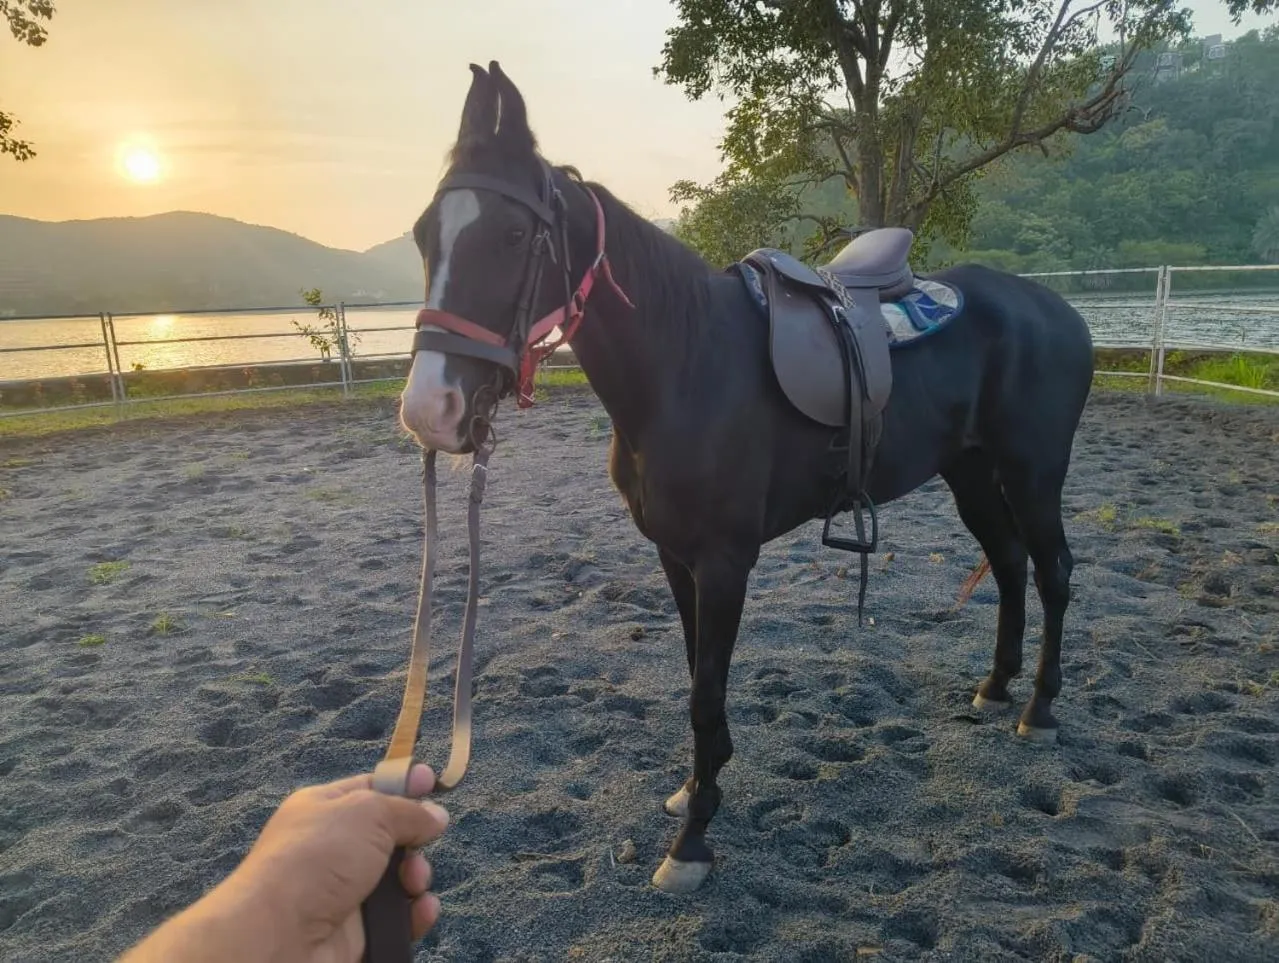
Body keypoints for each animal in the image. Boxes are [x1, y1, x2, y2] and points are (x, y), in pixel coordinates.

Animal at [396, 61, 1095, 895]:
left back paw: (1041, 708)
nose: (429, 409)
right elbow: (696, 673)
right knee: (1011, 563)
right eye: (422, 234)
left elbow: (705, 693)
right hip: (969, 472)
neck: (684, 361)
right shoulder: (675, 556)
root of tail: (1056, 308)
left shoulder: (725, 559)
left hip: (1032, 471)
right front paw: (694, 789)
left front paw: (692, 839)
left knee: (1052, 570)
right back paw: (995, 687)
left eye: (510, 235)